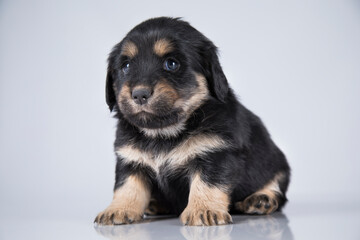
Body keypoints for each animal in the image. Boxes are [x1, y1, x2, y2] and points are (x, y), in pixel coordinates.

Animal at [94, 17, 292, 227]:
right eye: (126, 66)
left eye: (171, 64)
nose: (139, 94)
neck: (164, 132)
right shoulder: (130, 160)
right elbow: (126, 187)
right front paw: (118, 209)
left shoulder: (215, 155)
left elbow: (206, 183)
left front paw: (204, 210)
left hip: (277, 163)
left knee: (277, 189)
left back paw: (261, 199)